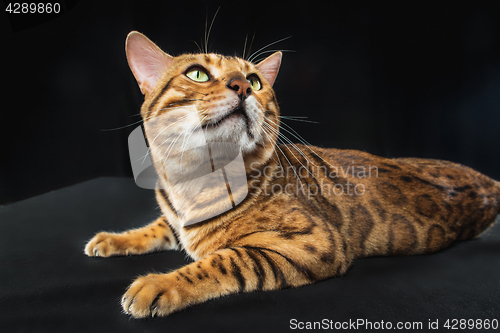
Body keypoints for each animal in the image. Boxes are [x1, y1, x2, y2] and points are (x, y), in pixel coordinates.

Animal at [84, 31, 498, 320]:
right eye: (198, 73)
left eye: (255, 80)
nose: (241, 86)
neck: (193, 182)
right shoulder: (175, 216)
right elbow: (159, 226)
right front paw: (115, 238)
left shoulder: (315, 243)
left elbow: (224, 259)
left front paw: (159, 283)